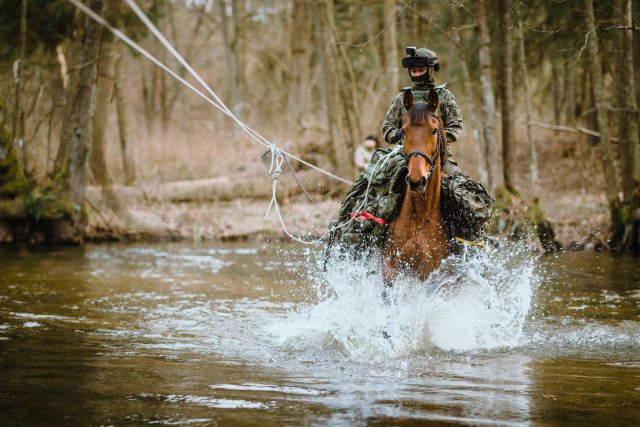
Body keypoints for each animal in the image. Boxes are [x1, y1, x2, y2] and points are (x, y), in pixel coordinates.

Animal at [380, 89, 450, 284]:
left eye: (434, 130)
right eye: (403, 131)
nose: (416, 180)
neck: (420, 216)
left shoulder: (430, 272)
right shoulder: (390, 266)